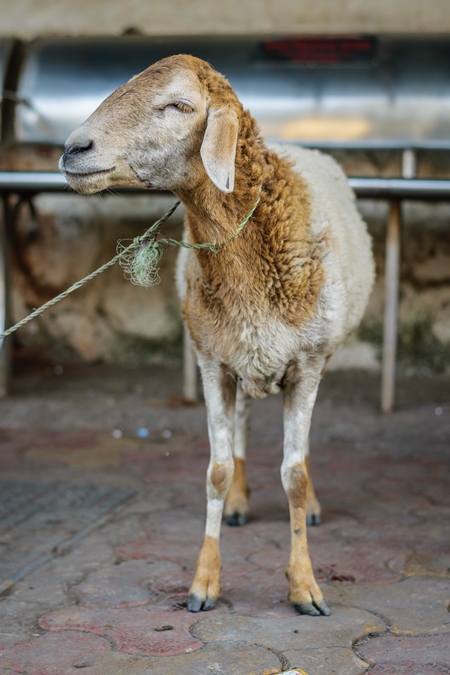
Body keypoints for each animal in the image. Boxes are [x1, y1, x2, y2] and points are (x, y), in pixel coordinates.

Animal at [60, 55, 376, 620]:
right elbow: (217, 471)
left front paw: (305, 585)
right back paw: (239, 503)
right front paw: (204, 580)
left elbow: (294, 475)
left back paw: (312, 505)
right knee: (245, 420)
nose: (74, 149)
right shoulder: (212, 362)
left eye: (179, 105)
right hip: (242, 356)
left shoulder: (307, 365)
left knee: (300, 451)